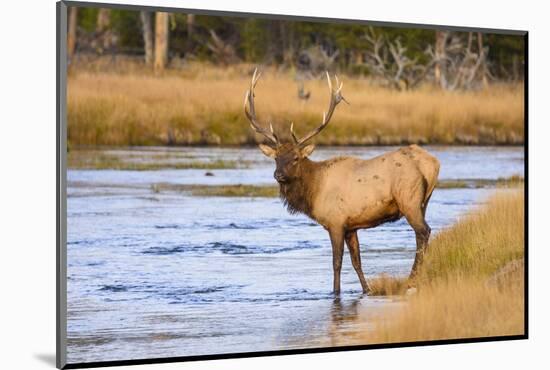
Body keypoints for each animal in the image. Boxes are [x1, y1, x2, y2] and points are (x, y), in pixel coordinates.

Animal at [244, 69, 442, 294]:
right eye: (276, 158)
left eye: (295, 158)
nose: (278, 175)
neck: (314, 190)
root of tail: (432, 163)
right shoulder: (351, 227)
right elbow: (357, 262)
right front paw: (366, 290)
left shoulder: (335, 222)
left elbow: (336, 262)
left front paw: (335, 291)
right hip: (424, 202)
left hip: (408, 199)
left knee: (423, 232)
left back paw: (412, 278)